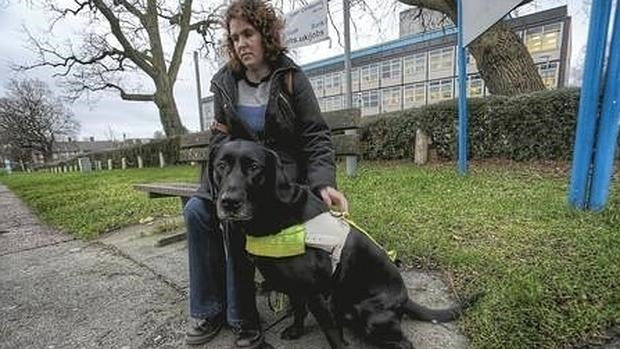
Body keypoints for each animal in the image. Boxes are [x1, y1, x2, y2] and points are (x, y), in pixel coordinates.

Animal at [211, 139, 478, 348]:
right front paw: (296, 331)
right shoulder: (297, 288)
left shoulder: (319, 293)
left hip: (370, 314)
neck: (274, 215)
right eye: (220, 166)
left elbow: (332, 334)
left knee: (403, 343)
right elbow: (298, 311)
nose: (229, 202)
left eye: (254, 167)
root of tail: (405, 298)